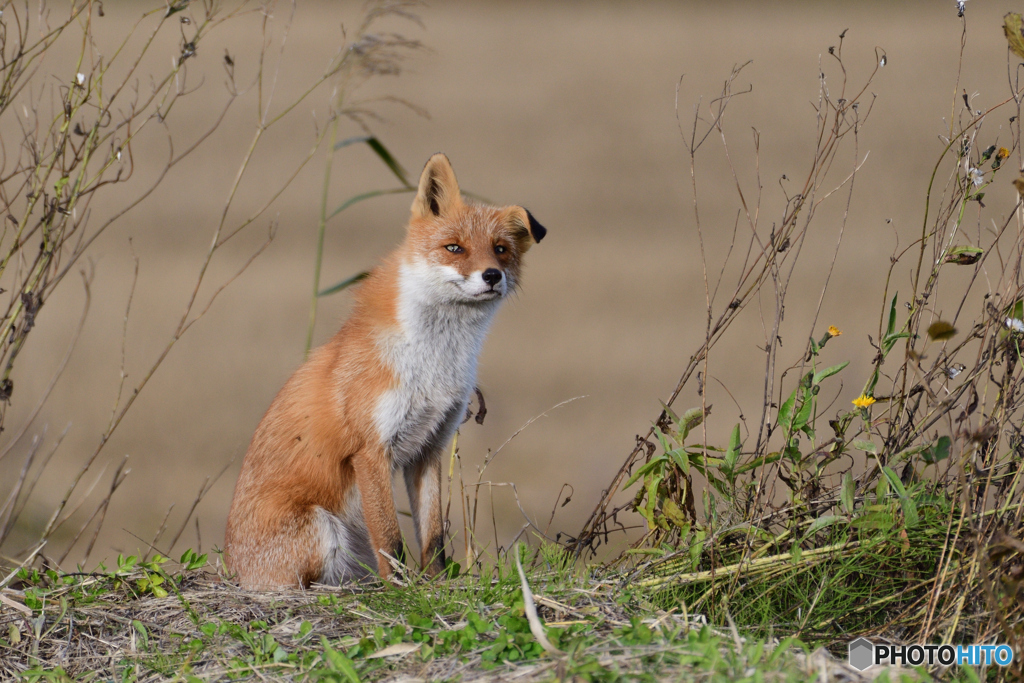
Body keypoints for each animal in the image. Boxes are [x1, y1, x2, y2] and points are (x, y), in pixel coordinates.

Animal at [223, 153, 544, 589]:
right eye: (454, 248)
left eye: (500, 250)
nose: (492, 275)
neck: (434, 362)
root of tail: (230, 570)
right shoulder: (370, 450)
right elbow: (390, 540)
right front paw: (399, 589)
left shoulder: (429, 446)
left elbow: (433, 536)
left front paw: (435, 585)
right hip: (322, 528)